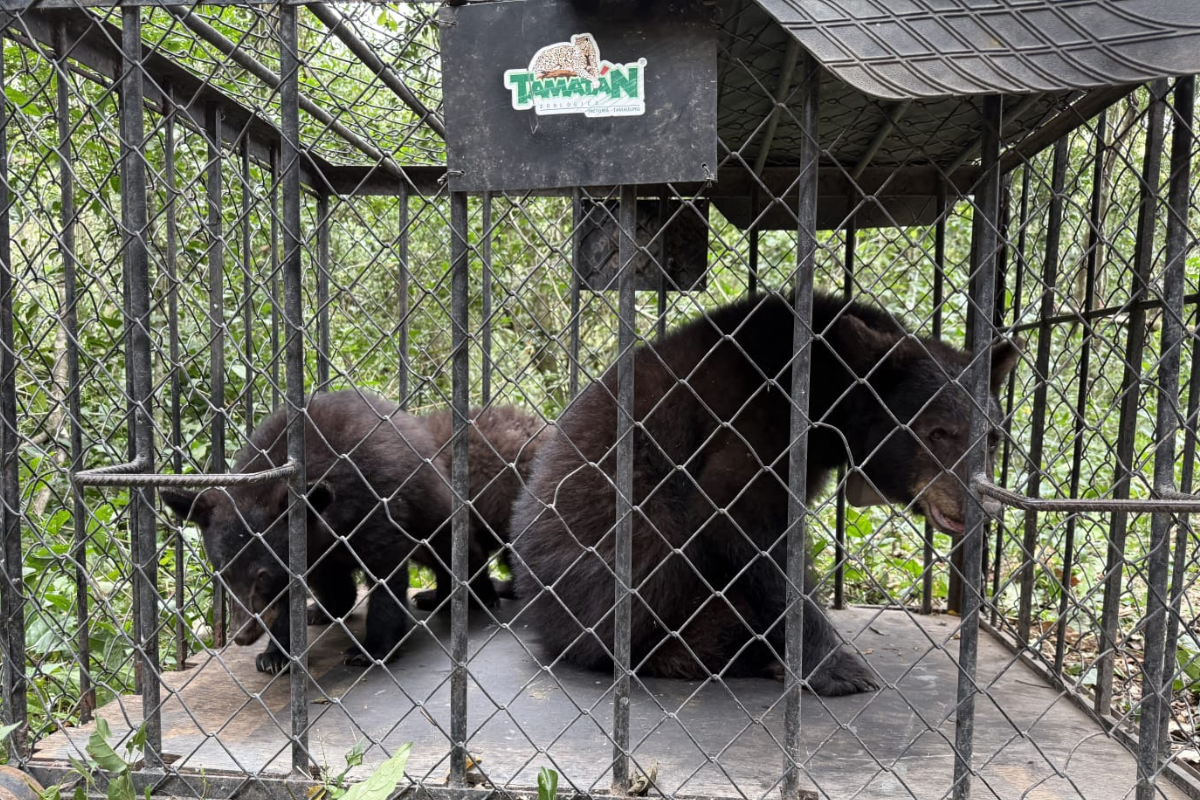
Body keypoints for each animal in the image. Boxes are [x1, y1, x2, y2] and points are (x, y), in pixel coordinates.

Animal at [162, 391, 451, 671]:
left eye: (262, 576)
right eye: (225, 574)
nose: (242, 635)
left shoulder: (377, 504)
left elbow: (385, 574)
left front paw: (372, 650)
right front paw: (276, 654)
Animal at [511, 292, 1017, 695]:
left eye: (993, 438)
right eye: (937, 432)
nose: (986, 507)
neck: (825, 385)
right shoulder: (754, 420)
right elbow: (738, 516)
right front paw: (838, 668)